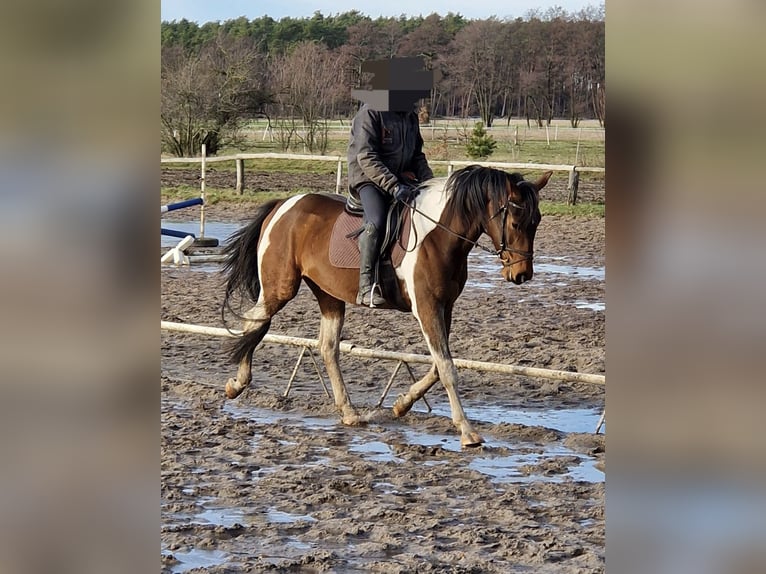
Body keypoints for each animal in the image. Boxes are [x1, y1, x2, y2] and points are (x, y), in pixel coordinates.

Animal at [222, 164, 552, 448]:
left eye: (536, 223)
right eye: (515, 222)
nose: (521, 275)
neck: (440, 234)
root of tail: (283, 205)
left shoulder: (444, 307)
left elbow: (438, 364)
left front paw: (401, 404)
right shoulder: (427, 307)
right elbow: (446, 368)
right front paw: (467, 432)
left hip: (328, 295)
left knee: (327, 347)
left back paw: (349, 412)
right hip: (280, 289)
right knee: (253, 321)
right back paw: (236, 384)